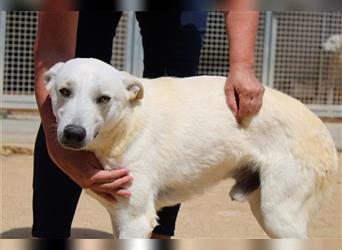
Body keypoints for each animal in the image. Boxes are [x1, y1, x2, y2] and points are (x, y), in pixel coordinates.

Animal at [43, 58, 340, 238]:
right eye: (64, 91)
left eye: (104, 98)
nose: (73, 134)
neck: (127, 126)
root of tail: (321, 128)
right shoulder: (120, 218)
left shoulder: (136, 219)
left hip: (279, 215)